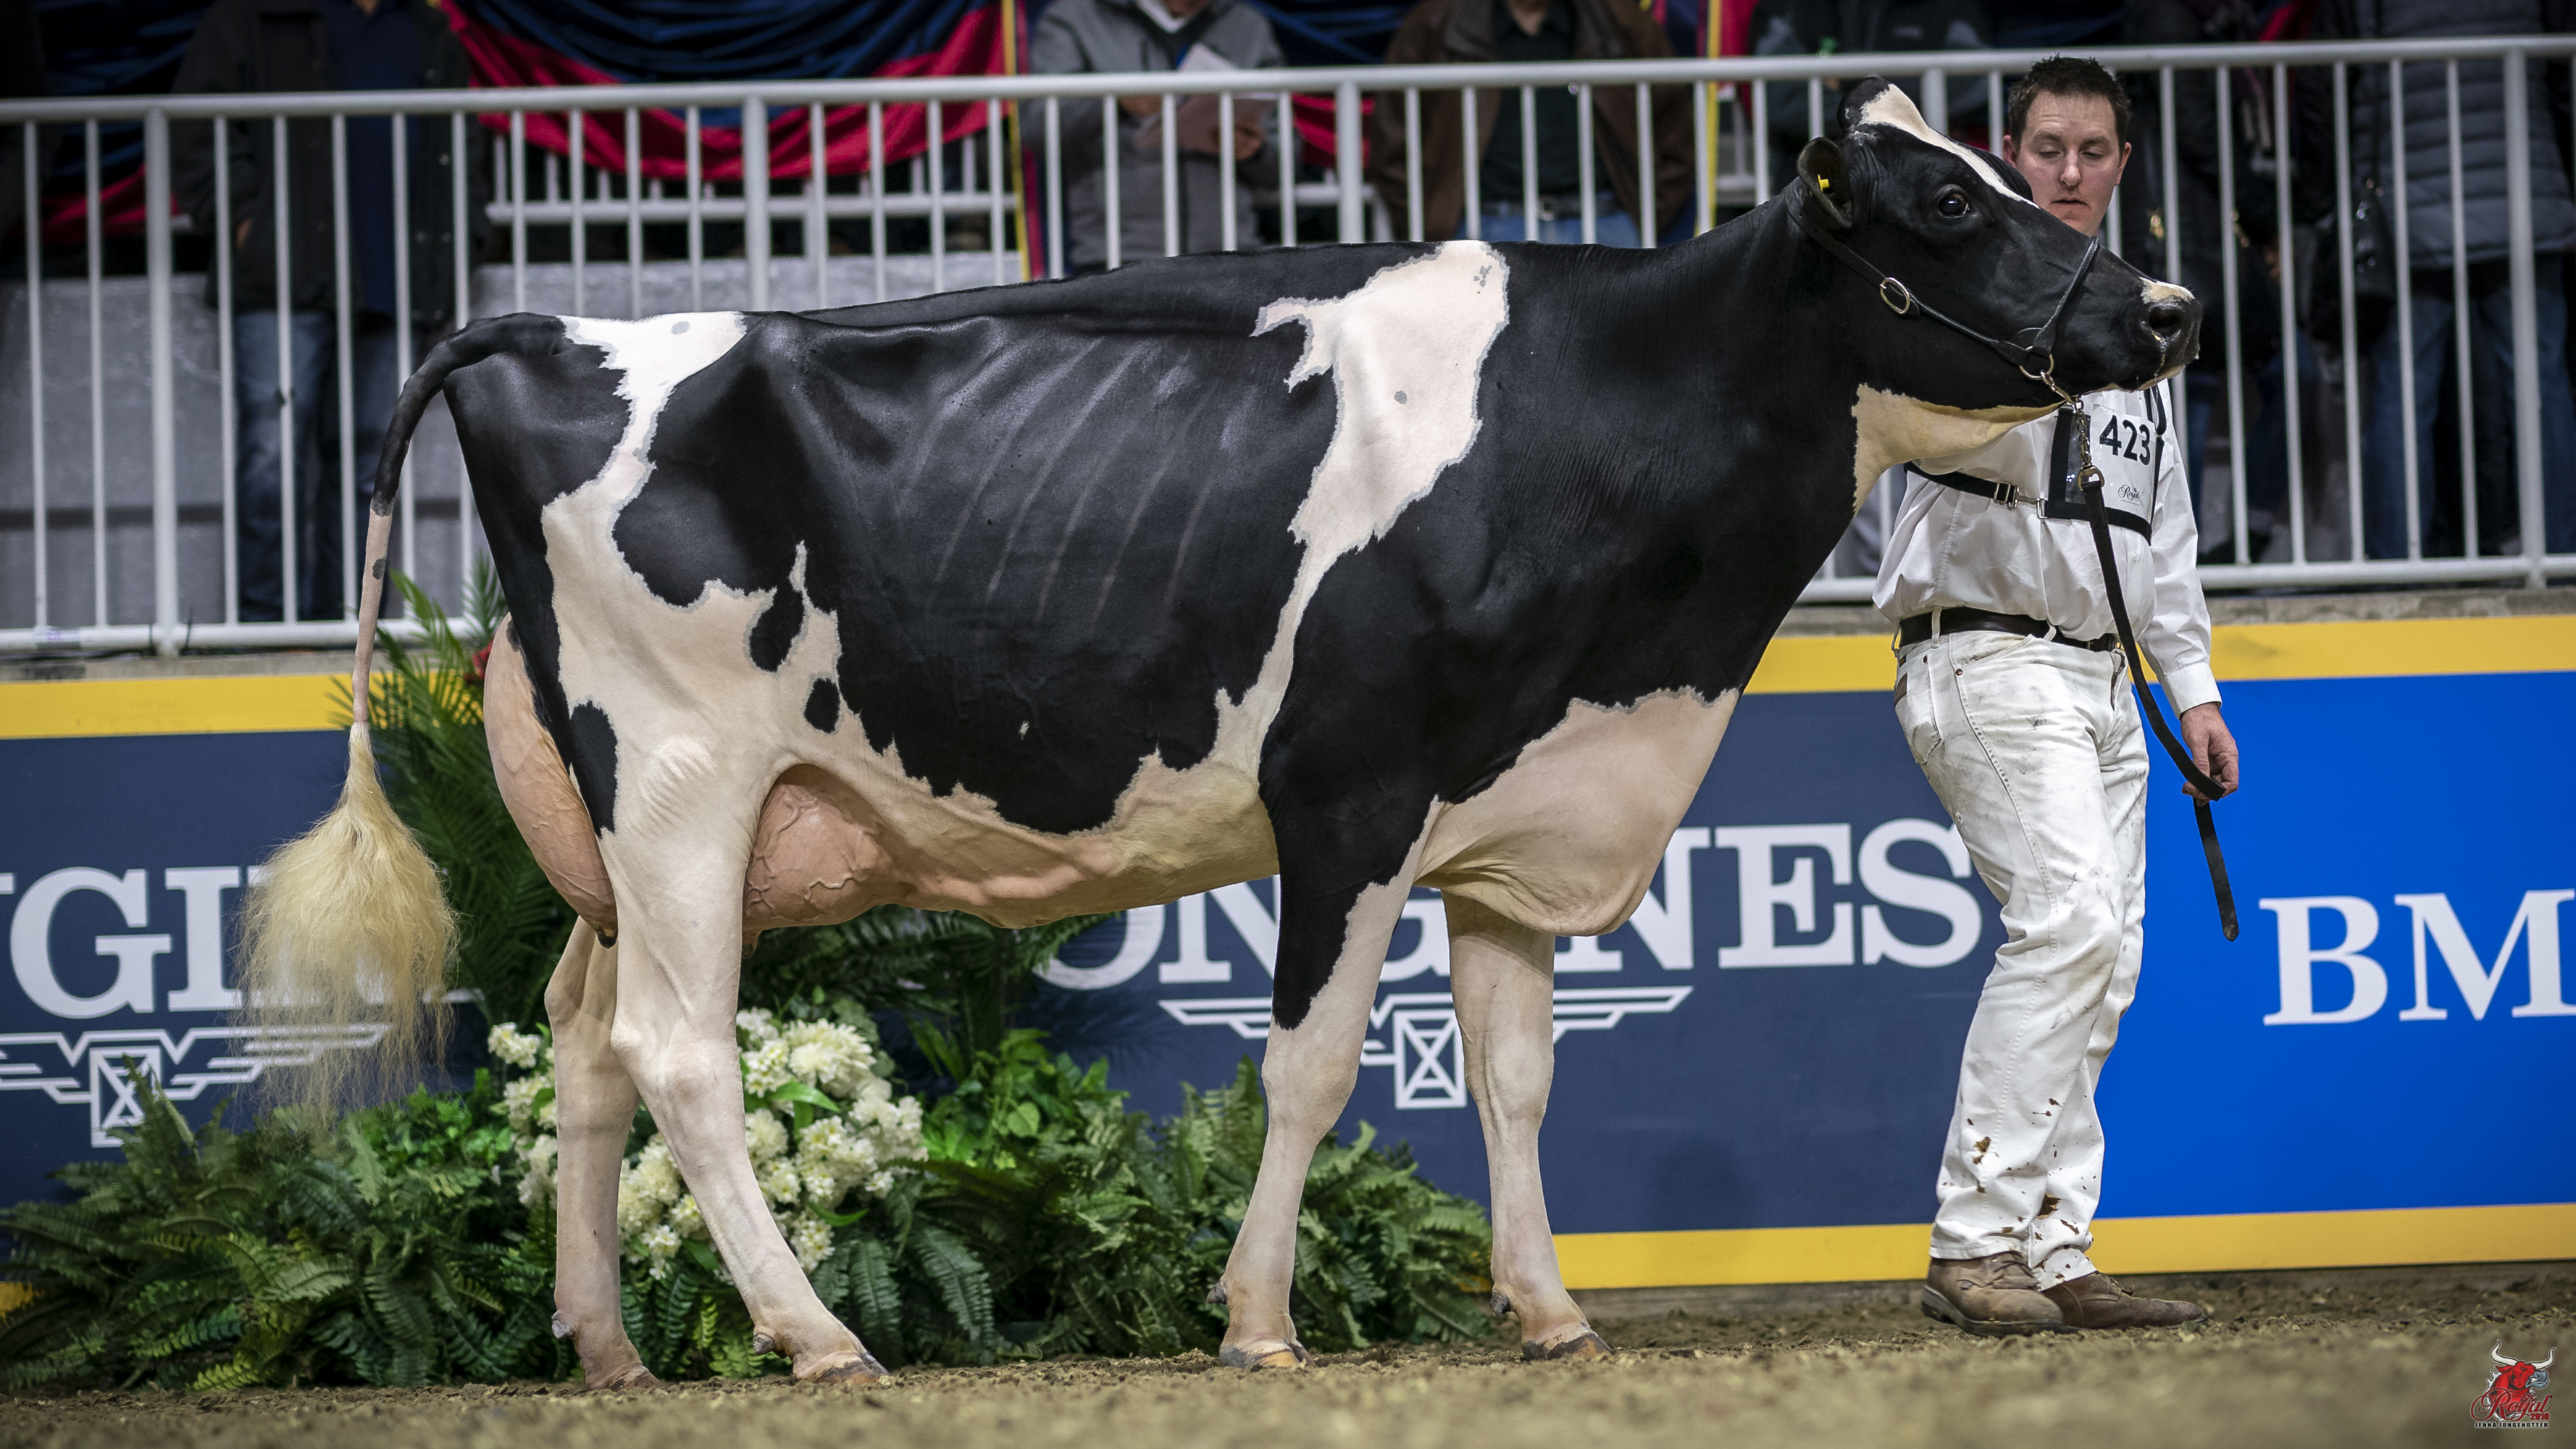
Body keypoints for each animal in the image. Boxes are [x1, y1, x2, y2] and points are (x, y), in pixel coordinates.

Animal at [243, 80, 2196, 1389]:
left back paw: (608, 1344)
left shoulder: (1516, 807)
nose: (2164, 309)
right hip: (678, 785)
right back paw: (813, 1335)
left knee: (579, 1040)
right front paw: (1257, 1318)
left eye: (2015, 170)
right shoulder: (1350, 793)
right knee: (678, 1049)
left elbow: (1516, 1075)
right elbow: (1310, 1068)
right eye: (1942, 209)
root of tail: (549, 325)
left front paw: (1548, 1308)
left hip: (605, 830)